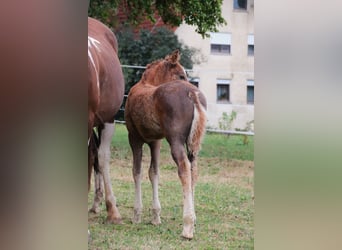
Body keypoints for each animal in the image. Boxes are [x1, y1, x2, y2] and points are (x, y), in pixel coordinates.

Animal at [125, 49, 207, 239]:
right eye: (181, 75)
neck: (146, 84)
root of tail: (193, 95)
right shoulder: (156, 141)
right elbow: (154, 172)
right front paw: (155, 216)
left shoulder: (134, 138)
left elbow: (137, 172)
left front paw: (136, 215)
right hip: (192, 145)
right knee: (194, 170)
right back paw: (193, 220)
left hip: (175, 141)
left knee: (184, 169)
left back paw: (187, 226)